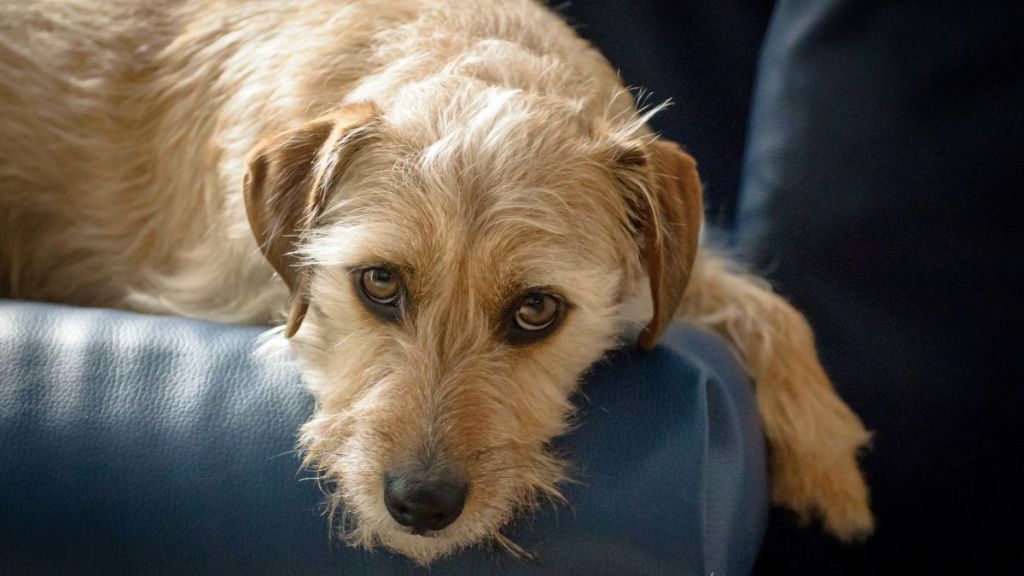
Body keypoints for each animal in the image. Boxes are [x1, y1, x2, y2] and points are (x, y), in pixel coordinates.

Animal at [4, 0, 876, 561]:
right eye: (379, 284)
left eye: (537, 309)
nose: (420, 507)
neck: (467, 43)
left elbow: (765, 306)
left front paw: (830, 463)